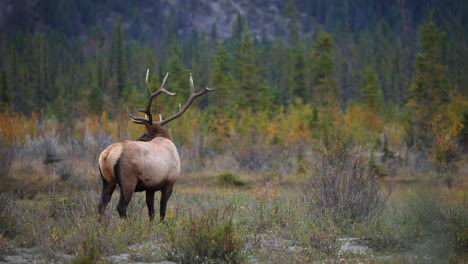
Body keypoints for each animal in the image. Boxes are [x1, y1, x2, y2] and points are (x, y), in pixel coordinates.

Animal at [99, 69, 215, 221]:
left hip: (107, 180)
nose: (138, 138)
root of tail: (107, 154)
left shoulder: (151, 187)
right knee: (121, 207)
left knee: (101, 205)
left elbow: (151, 211)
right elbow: (162, 210)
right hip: (127, 180)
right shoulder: (169, 183)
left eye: (145, 134)